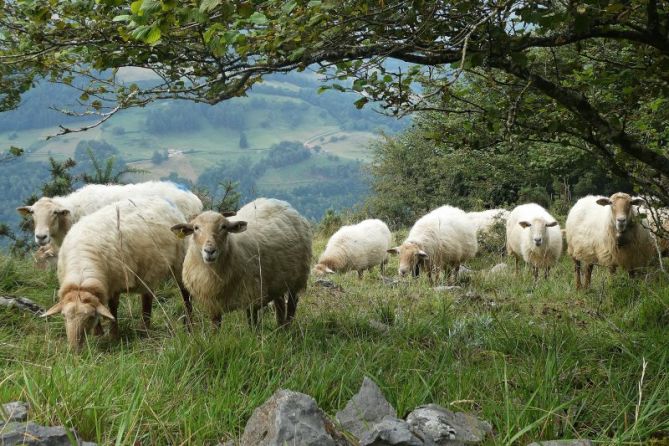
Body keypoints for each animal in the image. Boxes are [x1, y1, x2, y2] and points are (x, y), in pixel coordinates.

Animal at [41, 197, 189, 350]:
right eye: (64, 316)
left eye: (89, 317)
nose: (74, 349)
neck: (81, 271)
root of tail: (161, 200)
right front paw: (98, 334)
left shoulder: (115, 282)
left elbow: (112, 308)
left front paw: (113, 336)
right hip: (149, 268)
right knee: (147, 296)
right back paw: (144, 328)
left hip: (180, 260)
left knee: (185, 293)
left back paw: (188, 325)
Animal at [170, 198, 310, 328]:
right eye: (196, 228)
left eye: (224, 227)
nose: (209, 251)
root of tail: (281, 203)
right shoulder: (213, 301)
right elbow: (215, 326)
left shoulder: (252, 295)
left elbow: (252, 323)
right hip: (277, 280)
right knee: (280, 303)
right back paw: (280, 328)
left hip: (298, 277)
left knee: (292, 304)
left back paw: (287, 328)